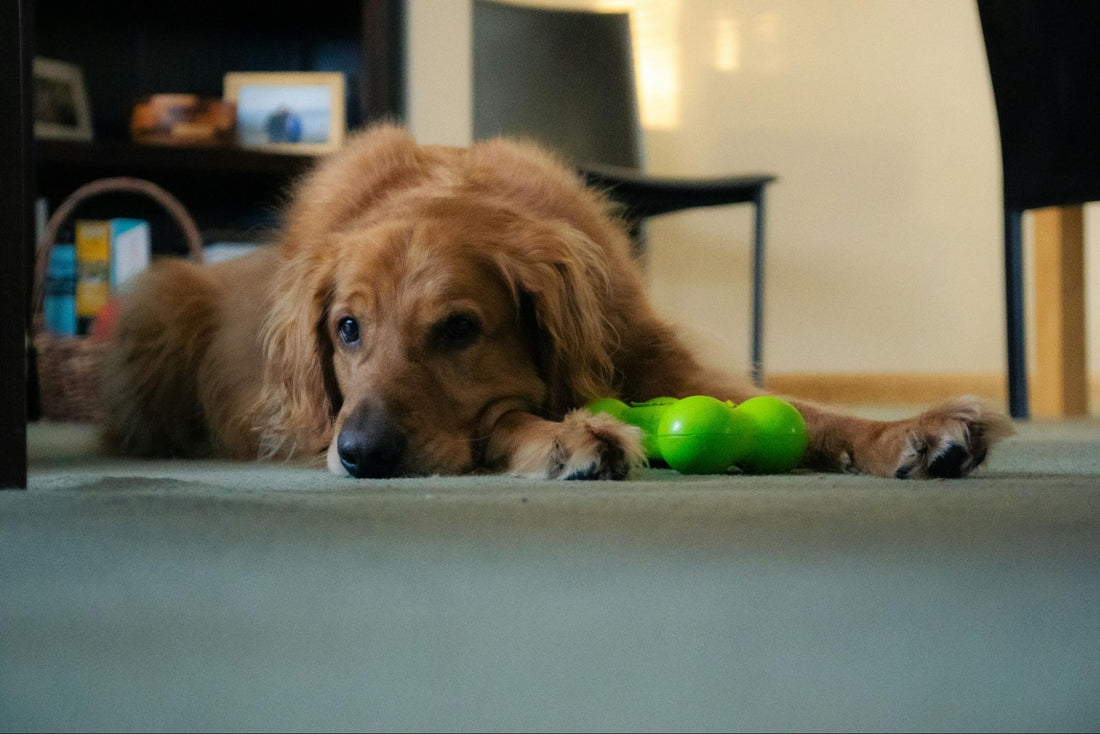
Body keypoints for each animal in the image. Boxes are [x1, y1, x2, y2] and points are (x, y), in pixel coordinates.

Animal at [103, 124, 1012, 481]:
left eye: (459, 330)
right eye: (346, 329)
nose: (357, 453)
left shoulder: (652, 355)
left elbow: (809, 411)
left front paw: (912, 428)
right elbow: (505, 416)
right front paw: (571, 436)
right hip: (157, 303)